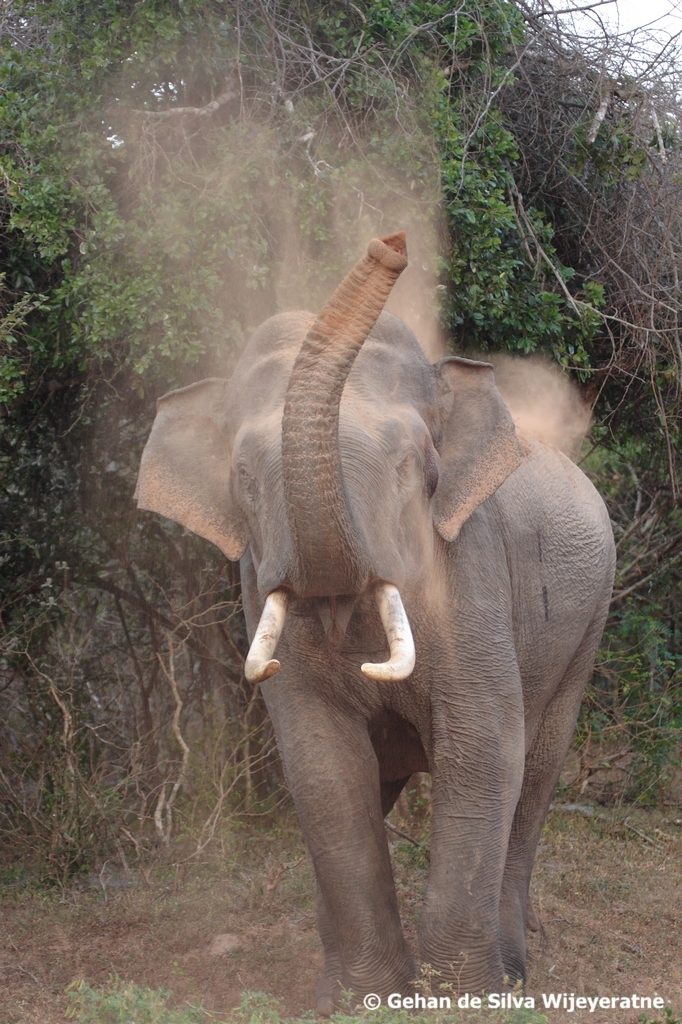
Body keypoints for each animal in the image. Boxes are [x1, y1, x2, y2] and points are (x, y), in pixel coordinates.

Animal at [135, 230, 614, 1007]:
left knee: (537, 774)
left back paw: (514, 972)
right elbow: (325, 770)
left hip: (588, 623)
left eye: (408, 465)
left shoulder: (470, 571)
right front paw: (361, 1000)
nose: (391, 244)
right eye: (243, 478)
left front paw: (458, 1001)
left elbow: (483, 750)